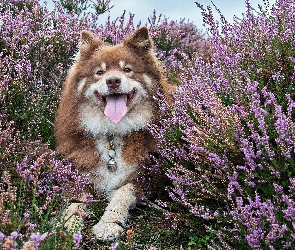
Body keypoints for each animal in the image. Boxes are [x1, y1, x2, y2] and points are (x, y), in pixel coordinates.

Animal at [55, 26, 171, 240]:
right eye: (99, 72)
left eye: (127, 69)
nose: (113, 81)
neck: (113, 134)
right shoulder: (80, 172)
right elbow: (74, 201)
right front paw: (68, 224)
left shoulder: (147, 178)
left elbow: (122, 192)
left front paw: (108, 222)